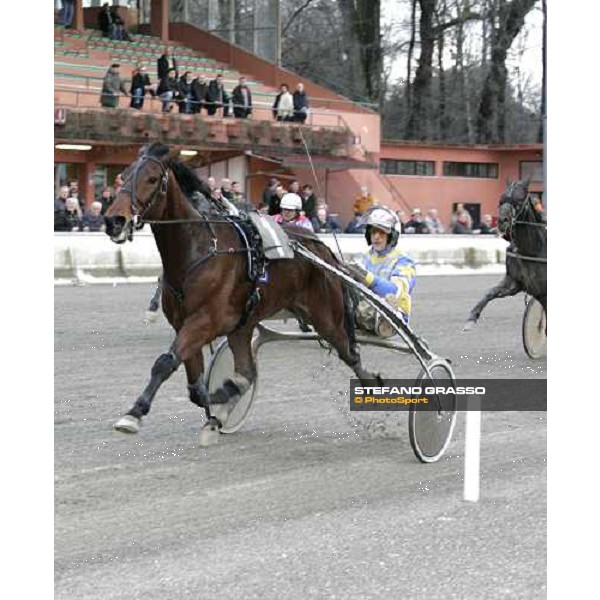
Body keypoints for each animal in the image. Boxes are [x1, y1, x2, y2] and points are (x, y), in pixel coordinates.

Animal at [103, 142, 376, 438]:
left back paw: (374, 384)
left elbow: (165, 363)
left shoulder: (205, 321)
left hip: (326, 318)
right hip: (244, 325)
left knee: (350, 354)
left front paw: (134, 413)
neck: (199, 250)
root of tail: (322, 249)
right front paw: (219, 398)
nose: (114, 220)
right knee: (247, 372)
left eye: (152, 179)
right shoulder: (185, 324)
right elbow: (196, 386)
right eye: (124, 175)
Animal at [464, 180, 548, 330]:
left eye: (519, 199)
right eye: (501, 199)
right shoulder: (514, 282)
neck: (531, 251)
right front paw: (471, 318)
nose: (502, 221)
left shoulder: (544, 293)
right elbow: (490, 292)